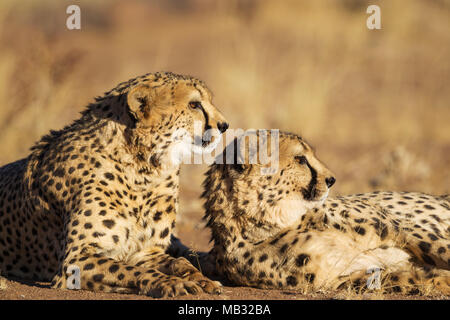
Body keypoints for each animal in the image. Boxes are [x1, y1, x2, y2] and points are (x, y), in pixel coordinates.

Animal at [0, 71, 229, 296]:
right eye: (194, 104)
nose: (224, 125)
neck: (144, 170)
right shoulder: (74, 260)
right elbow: (129, 270)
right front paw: (172, 283)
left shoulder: (145, 252)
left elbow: (178, 262)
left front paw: (200, 279)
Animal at [200, 130, 450, 296]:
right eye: (300, 159)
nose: (331, 179)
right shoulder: (341, 277)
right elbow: (403, 277)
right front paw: (442, 281)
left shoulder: (397, 227)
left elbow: (438, 248)